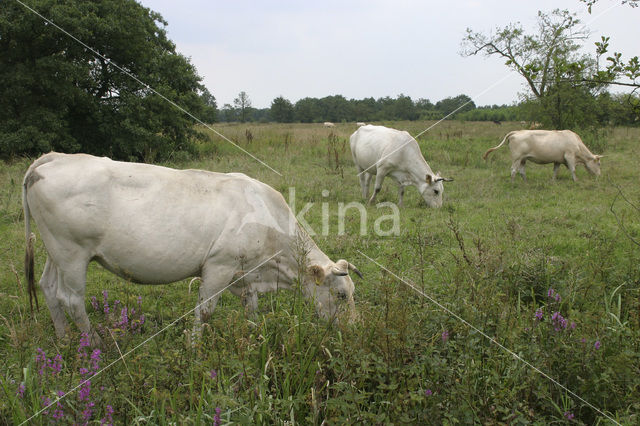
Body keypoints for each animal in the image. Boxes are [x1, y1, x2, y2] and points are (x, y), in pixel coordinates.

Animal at [22, 151, 360, 344]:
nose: (352, 330)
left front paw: (254, 339)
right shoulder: (219, 266)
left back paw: (64, 340)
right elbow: (205, 311)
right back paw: (94, 345)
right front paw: (195, 349)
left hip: (55, 252)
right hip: (72, 253)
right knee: (71, 298)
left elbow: (251, 309)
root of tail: (53, 156)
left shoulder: (245, 274)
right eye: (341, 295)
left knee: (48, 287)